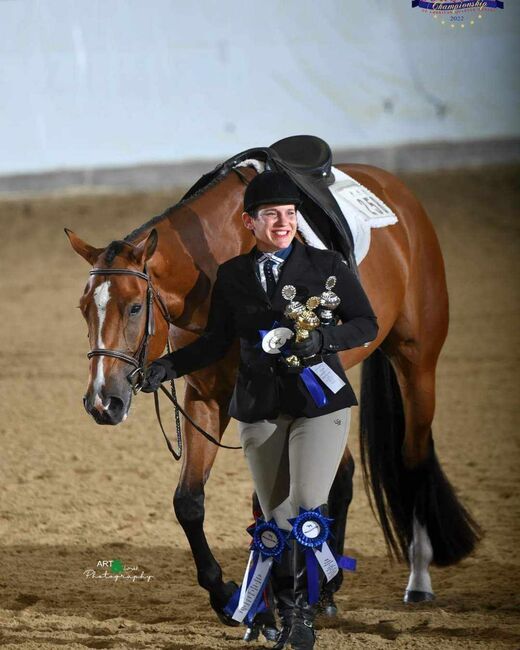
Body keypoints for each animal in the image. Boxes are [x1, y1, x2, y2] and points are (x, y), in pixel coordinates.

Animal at [65, 162, 480, 624]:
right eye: (84, 308)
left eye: (136, 307)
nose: (103, 401)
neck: (214, 263)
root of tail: (396, 190)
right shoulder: (205, 399)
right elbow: (190, 501)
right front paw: (228, 595)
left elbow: (268, 503)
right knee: (340, 476)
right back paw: (327, 588)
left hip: (416, 363)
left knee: (414, 459)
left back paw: (417, 579)